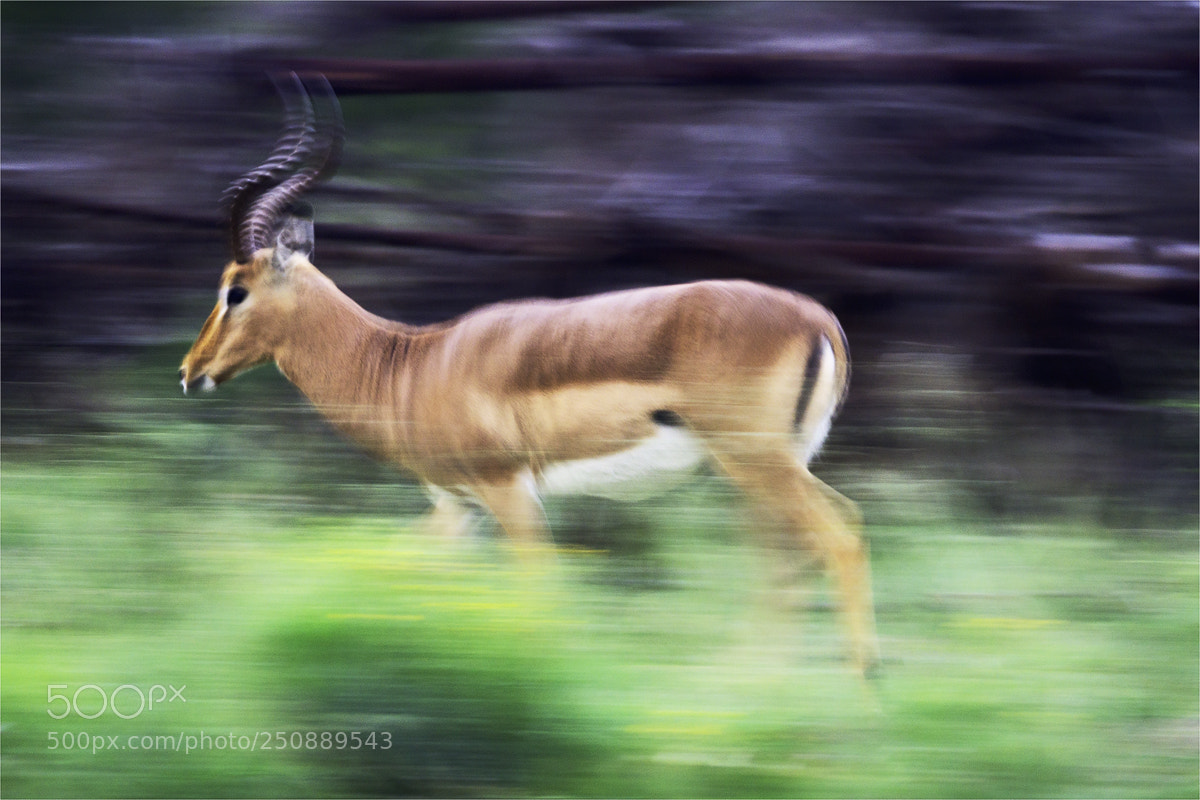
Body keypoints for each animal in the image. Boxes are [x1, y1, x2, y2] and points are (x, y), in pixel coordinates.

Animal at [179, 73, 879, 677]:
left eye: (235, 290)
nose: (189, 371)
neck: (409, 364)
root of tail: (819, 319)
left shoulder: (508, 491)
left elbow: (539, 590)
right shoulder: (455, 502)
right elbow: (407, 569)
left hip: (756, 463)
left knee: (839, 532)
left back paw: (862, 688)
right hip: (765, 468)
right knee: (788, 560)